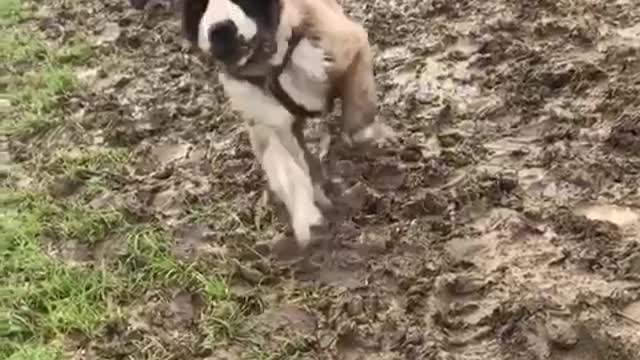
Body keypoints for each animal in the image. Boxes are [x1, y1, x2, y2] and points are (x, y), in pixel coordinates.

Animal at [131, 0, 396, 252]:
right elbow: (289, 171)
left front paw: (368, 137)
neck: (270, 63)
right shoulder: (268, 125)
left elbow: (358, 110)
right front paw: (308, 218)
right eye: (195, 5)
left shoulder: (348, 46)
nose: (220, 29)